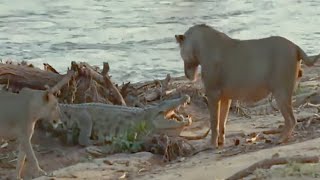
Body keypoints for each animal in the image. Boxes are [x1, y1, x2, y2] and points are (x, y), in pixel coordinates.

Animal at [175, 23, 320, 149]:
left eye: (181, 53)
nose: (186, 74)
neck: (200, 46)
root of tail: (295, 45)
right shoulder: (225, 97)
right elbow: (222, 121)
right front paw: (221, 142)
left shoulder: (213, 94)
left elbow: (214, 121)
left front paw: (212, 144)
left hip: (281, 93)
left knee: (291, 119)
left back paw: (280, 139)